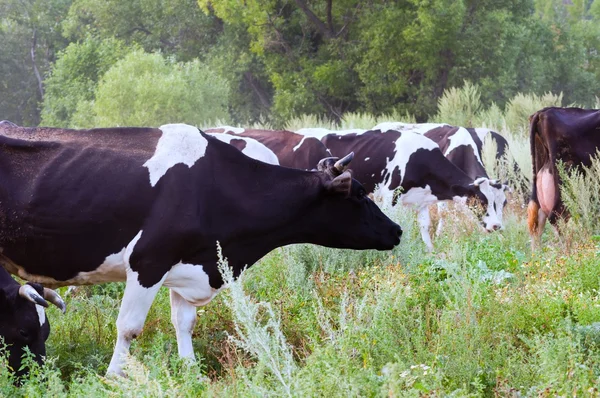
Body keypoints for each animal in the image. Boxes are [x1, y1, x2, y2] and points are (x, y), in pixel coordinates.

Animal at [0, 122, 404, 376]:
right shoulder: (148, 262)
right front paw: (114, 378)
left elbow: (185, 322)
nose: (397, 231)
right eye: (358, 194)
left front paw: (190, 370)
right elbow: (129, 328)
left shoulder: (188, 266)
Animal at [322, 129, 504, 250]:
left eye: (497, 202)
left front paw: (430, 251)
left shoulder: (422, 201)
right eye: (481, 201)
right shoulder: (390, 197)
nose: (496, 225)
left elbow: (425, 226)